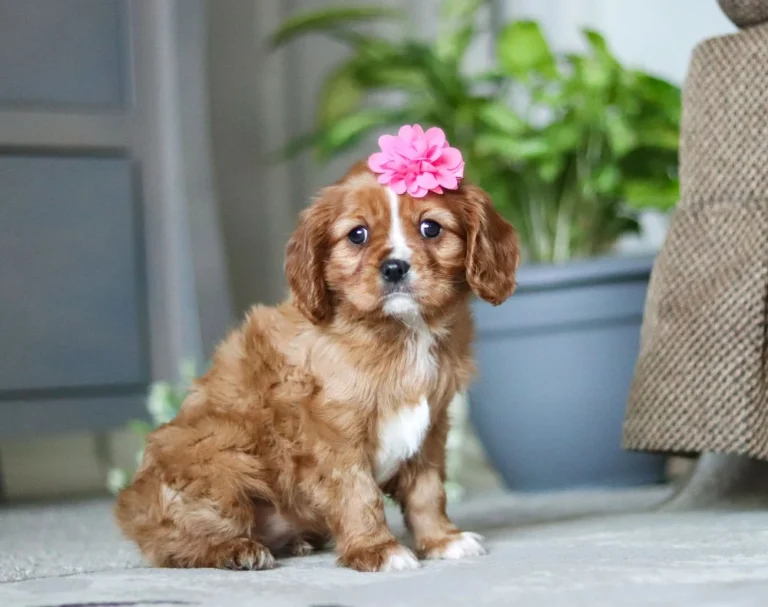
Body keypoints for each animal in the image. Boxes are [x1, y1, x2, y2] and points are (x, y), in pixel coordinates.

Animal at [114, 160, 520, 568]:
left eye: (430, 228)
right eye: (357, 235)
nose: (394, 268)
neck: (401, 331)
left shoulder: (430, 428)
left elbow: (428, 491)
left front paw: (442, 540)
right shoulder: (333, 436)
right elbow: (358, 494)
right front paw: (378, 550)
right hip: (218, 449)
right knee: (174, 543)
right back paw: (235, 550)